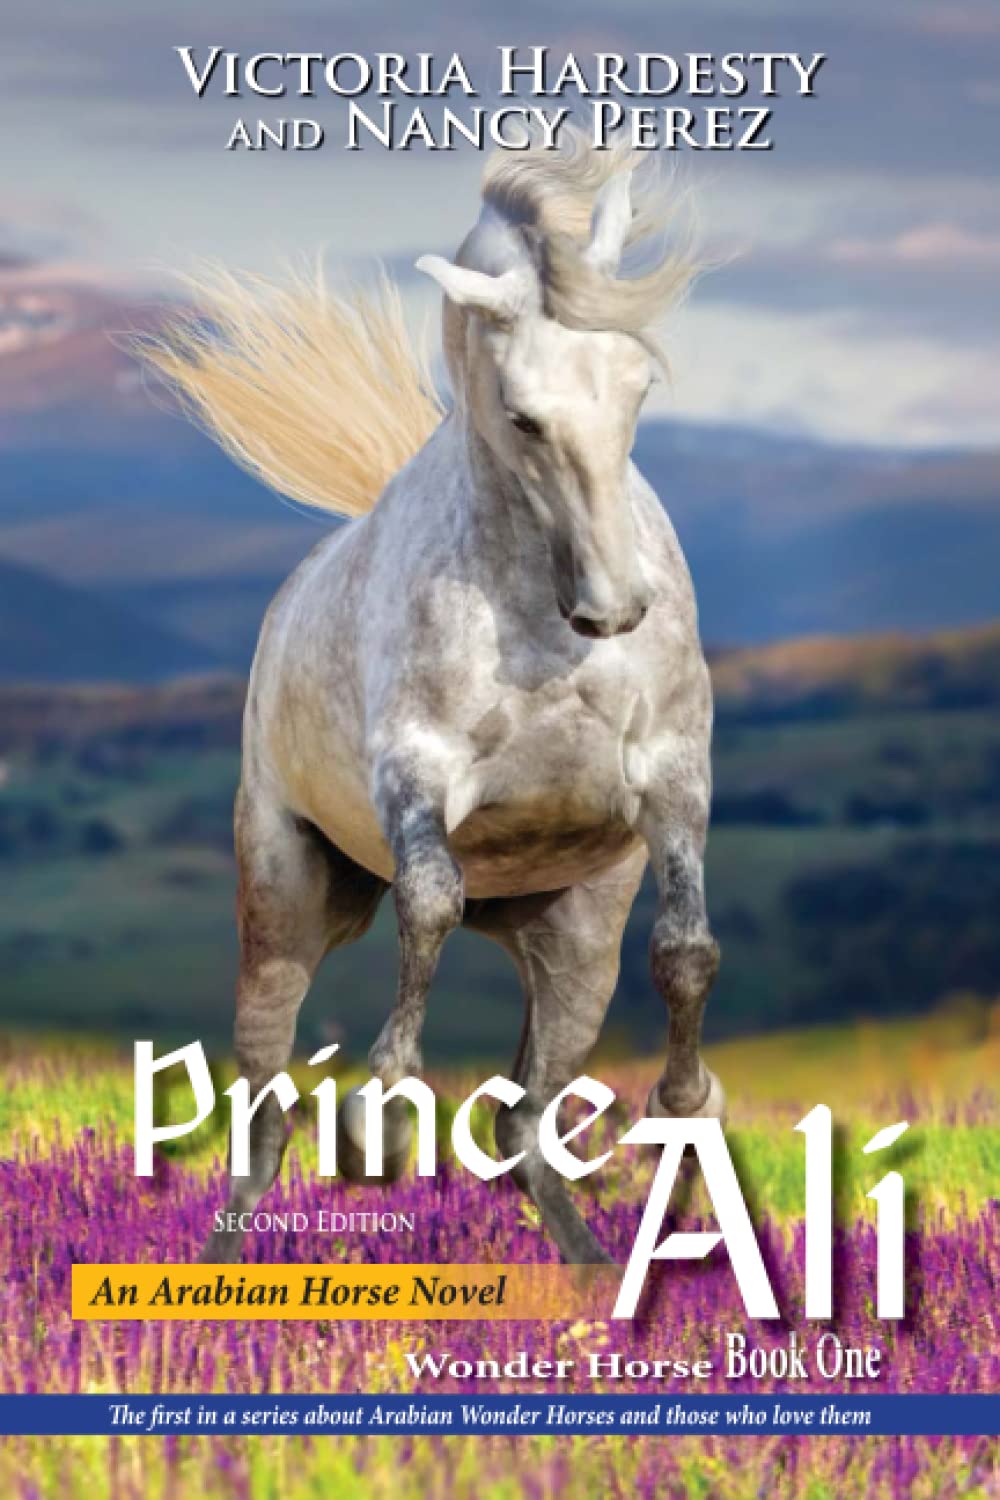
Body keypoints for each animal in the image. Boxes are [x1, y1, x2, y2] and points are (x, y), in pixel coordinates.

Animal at [146, 135, 725, 1266]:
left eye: (638, 383)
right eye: (525, 415)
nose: (614, 609)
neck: (540, 622)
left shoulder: (673, 779)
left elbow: (686, 951)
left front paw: (684, 1107)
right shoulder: (417, 773)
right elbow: (430, 903)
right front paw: (383, 1115)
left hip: (573, 938)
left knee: (525, 1122)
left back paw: (597, 1273)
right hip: (287, 899)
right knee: (264, 1102)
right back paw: (223, 1256)